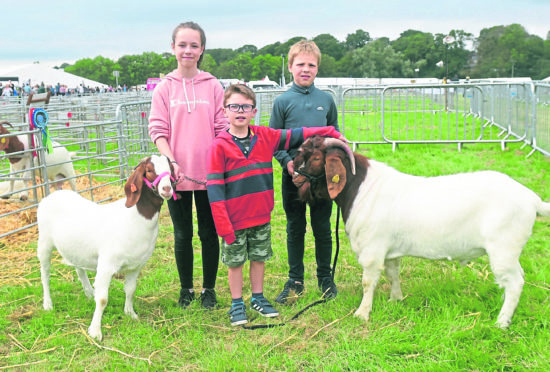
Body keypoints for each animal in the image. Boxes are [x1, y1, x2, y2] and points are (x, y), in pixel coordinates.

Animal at [37, 154, 176, 340]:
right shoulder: (106, 264)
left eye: (170, 168)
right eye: (149, 170)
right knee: (45, 274)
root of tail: (54, 194)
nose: (167, 189)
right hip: (44, 242)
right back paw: (48, 303)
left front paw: (130, 314)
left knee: (79, 268)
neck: (134, 217)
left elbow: (131, 290)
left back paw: (89, 293)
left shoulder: (136, 265)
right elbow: (103, 299)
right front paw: (95, 331)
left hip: (75, 248)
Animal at [294, 135, 550, 326]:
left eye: (315, 157)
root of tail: (532, 200)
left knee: (515, 282)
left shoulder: (372, 251)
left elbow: (368, 282)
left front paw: (362, 314)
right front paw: (395, 300)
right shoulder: (389, 251)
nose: (294, 174)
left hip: (503, 249)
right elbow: (393, 274)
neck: (362, 189)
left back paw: (501, 322)